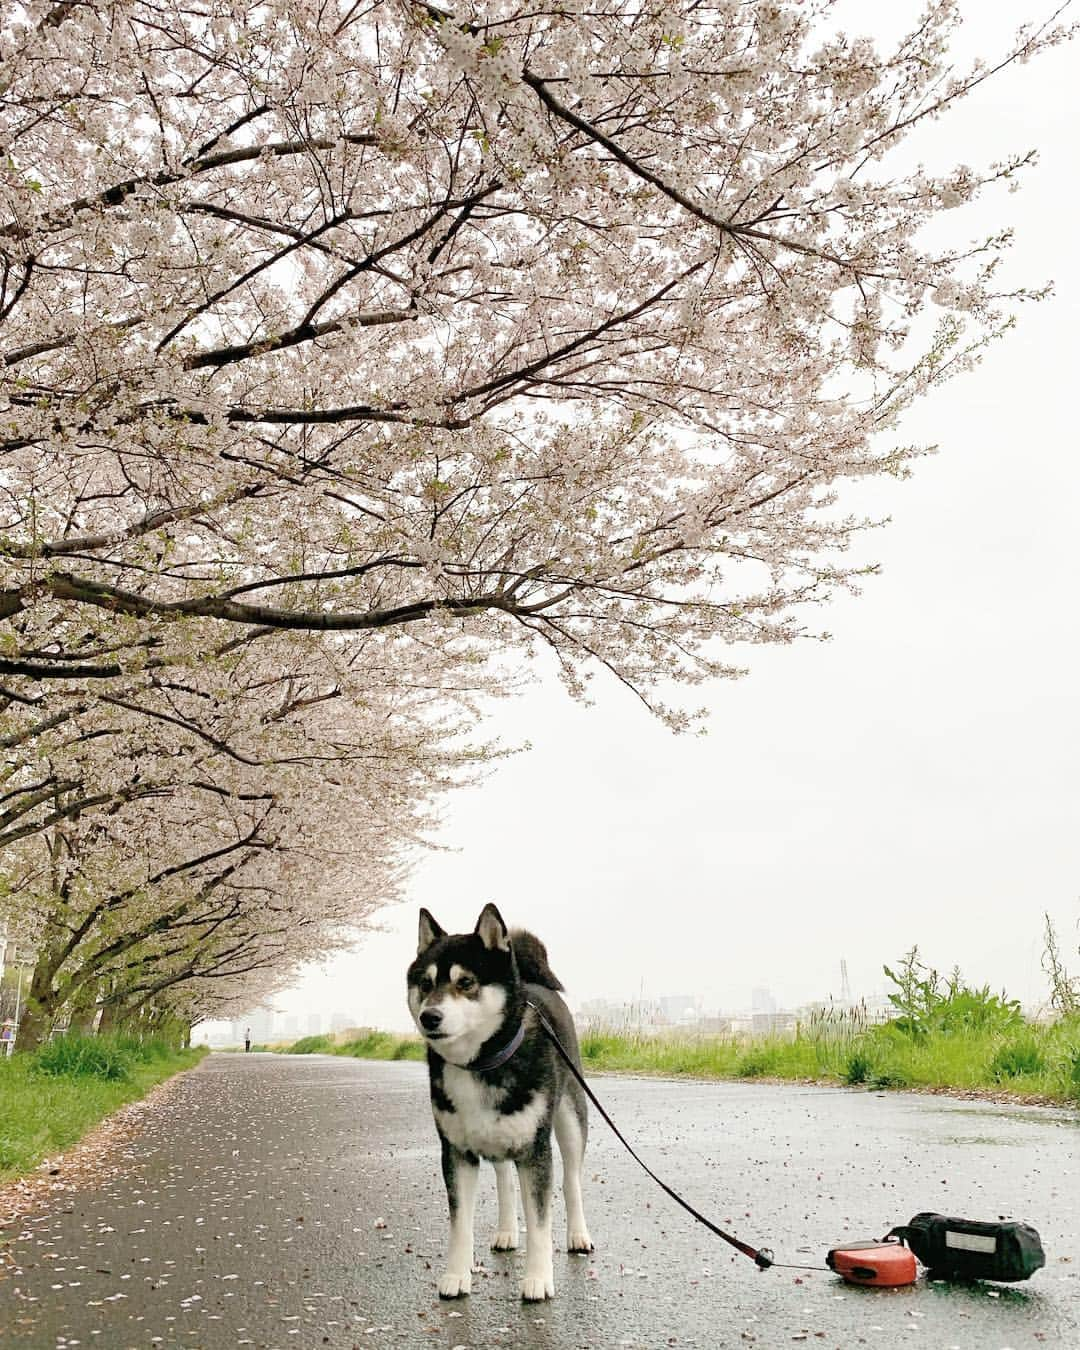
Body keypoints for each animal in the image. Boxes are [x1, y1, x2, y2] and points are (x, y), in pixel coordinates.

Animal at [407, 901, 594, 1301]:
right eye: (425, 984)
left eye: (465, 983)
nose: (430, 1017)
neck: (481, 1063)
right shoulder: (456, 1152)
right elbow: (460, 1223)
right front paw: (456, 1276)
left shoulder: (535, 1150)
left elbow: (540, 1224)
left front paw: (538, 1279)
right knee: (505, 1180)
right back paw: (507, 1231)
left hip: (570, 1118)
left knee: (571, 1179)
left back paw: (578, 1236)